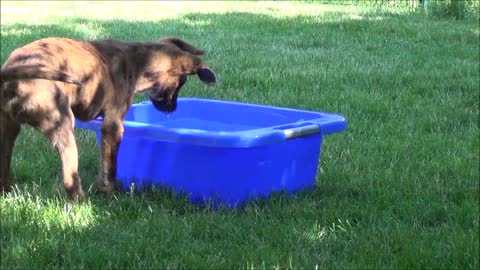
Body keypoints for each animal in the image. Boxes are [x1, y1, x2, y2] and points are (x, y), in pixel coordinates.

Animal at [0, 37, 217, 200]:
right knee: (70, 178)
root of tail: (14, 76)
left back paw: (6, 193)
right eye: (181, 82)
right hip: (63, 127)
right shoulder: (113, 127)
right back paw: (82, 203)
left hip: (7, 131)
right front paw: (111, 192)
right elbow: (110, 166)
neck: (138, 60)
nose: (173, 108)